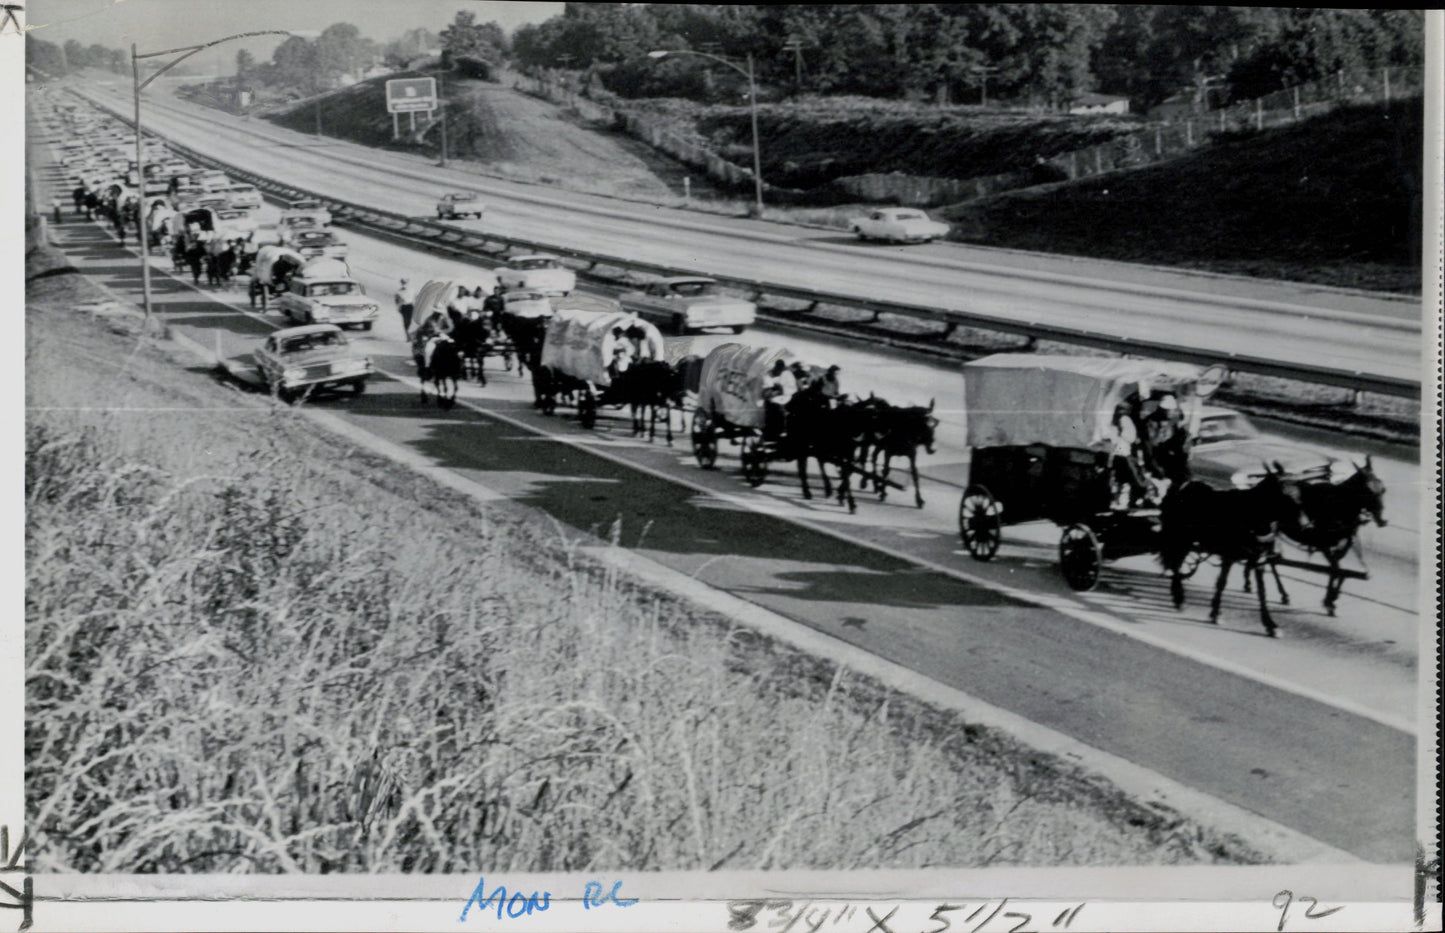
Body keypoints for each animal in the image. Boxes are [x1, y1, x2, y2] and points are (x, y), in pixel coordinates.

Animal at [1156, 465, 1306, 638]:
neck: (1253, 515)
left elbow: (1262, 592)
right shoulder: (1229, 555)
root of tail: (1182, 485)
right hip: (1181, 540)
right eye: (1286, 498)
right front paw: (1216, 613)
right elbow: (1222, 583)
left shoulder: (1258, 559)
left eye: (1301, 497)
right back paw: (1179, 597)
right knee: (1175, 565)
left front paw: (1270, 624)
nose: (1304, 526)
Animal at [1248, 456, 1381, 618]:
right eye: (1368, 490)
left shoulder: (1343, 545)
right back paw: (1277, 591)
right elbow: (1336, 570)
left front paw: (1332, 599)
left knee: (1269, 558)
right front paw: (1329, 602)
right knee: (1269, 559)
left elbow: (1339, 571)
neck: (1340, 506)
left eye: (1382, 488)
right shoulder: (1324, 545)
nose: (1382, 520)